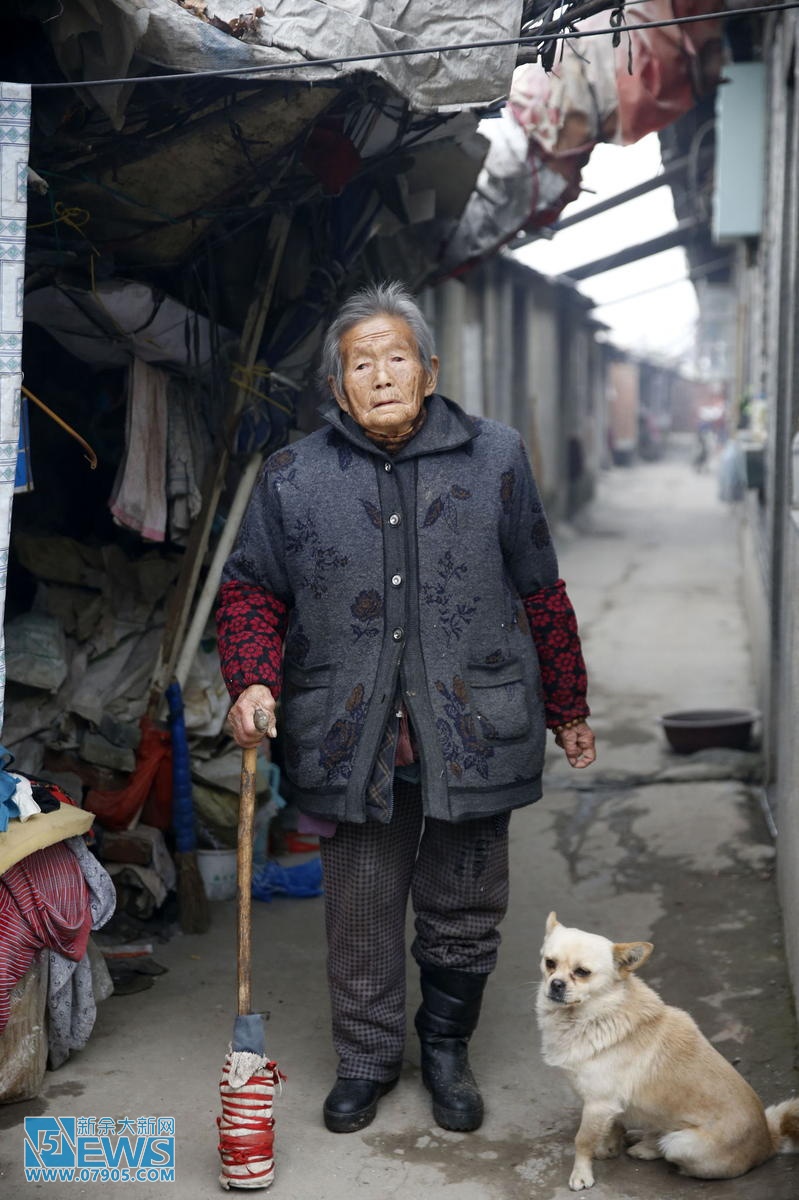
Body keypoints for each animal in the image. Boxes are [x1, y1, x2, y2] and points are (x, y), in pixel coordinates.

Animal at [535, 912, 796, 1185]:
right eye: (550, 963)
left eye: (582, 972)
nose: (556, 984)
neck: (595, 1015)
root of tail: (768, 1141)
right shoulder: (609, 1107)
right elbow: (614, 1126)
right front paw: (609, 1148)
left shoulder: (598, 1104)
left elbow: (582, 1141)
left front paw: (581, 1174)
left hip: (681, 1144)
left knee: (668, 1150)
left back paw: (647, 1148)